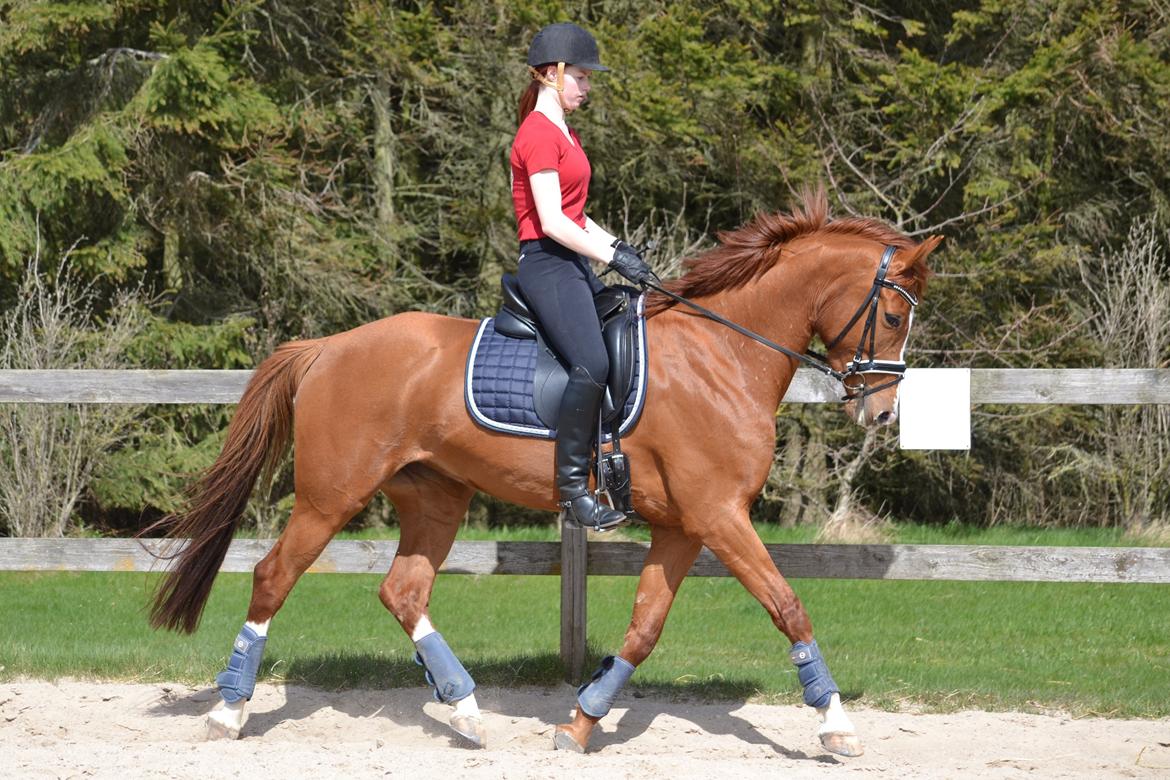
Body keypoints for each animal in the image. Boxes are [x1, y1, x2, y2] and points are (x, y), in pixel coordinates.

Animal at [146, 191, 940, 757]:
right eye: (893, 314)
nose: (881, 413)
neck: (722, 356)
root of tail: (328, 346)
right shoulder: (719, 516)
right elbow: (788, 606)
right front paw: (836, 726)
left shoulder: (686, 526)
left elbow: (644, 629)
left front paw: (581, 724)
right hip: (328, 496)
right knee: (274, 576)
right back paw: (229, 711)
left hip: (436, 497)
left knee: (403, 591)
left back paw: (466, 711)